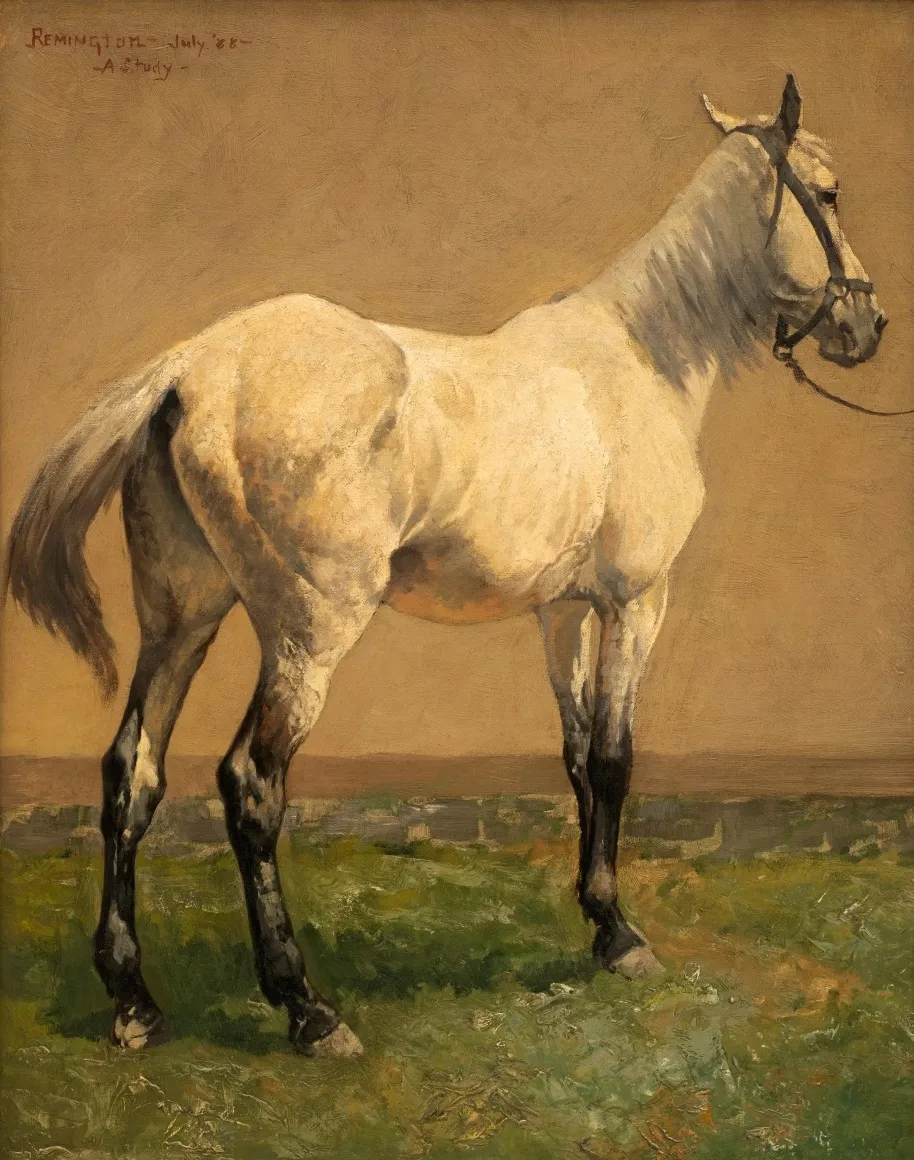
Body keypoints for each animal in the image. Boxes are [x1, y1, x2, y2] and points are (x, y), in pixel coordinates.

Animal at [4, 76, 887, 1058]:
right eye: (831, 193)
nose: (868, 324)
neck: (639, 359)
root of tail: (189, 368)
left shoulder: (562, 612)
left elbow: (576, 756)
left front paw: (598, 922)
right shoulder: (637, 602)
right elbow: (615, 757)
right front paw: (624, 940)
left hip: (181, 620)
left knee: (133, 777)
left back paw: (134, 1002)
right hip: (308, 634)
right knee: (250, 787)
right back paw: (307, 1008)